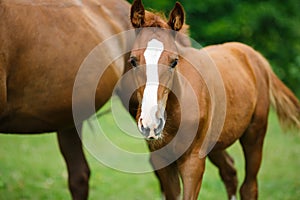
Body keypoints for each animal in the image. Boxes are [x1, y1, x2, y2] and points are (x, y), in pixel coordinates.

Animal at [122, 0, 300, 199]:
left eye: (174, 61)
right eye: (133, 60)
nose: (151, 123)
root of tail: (256, 57)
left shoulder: (193, 161)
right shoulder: (162, 160)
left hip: (255, 133)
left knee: (249, 187)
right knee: (229, 172)